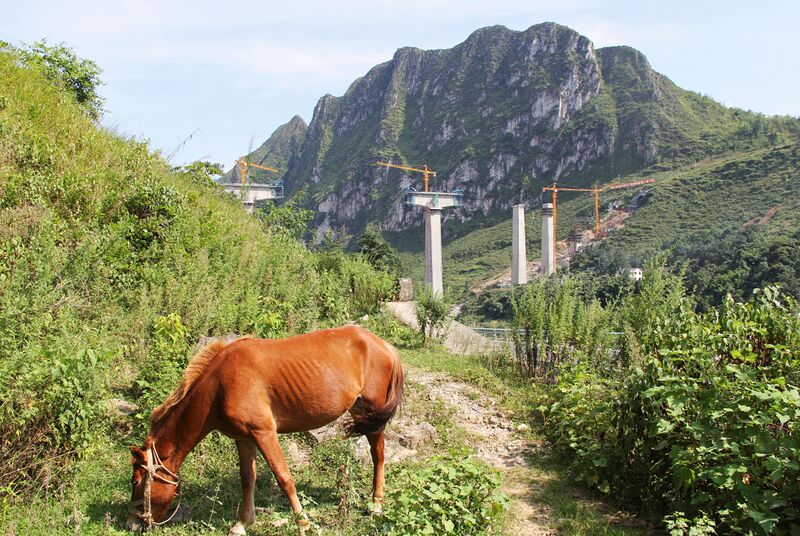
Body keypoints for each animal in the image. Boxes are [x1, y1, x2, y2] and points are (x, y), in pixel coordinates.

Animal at [126, 325, 405, 534]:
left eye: (136, 481)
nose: (131, 523)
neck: (220, 386)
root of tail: (383, 344)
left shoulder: (264, 433)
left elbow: (284, 478)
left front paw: (302, 524)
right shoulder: (244, 439)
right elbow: (247, 479)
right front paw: (242, 523)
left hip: (373, 416)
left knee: (378, 456)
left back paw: (376, 504)